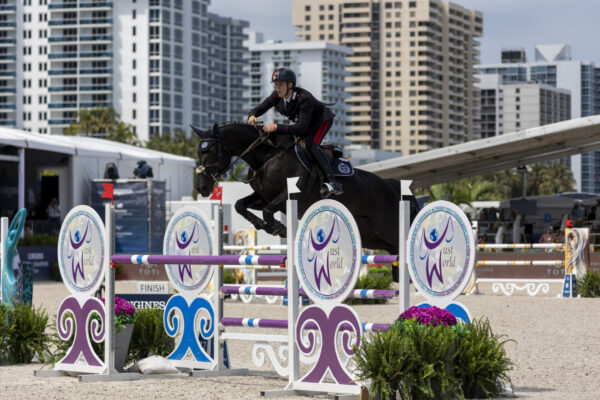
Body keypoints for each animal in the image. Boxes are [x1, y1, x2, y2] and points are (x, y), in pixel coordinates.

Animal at [192, 122, 418, 256]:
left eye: (210, 152)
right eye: (199, 151)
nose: (202, 187)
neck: (268, 157)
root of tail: (396, 188)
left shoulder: (291, 195)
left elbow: (267, 211)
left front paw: (279, 228)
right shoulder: (263, 197)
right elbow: (241, 205)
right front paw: (265, 226)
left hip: (390, 229)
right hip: (373, 236)